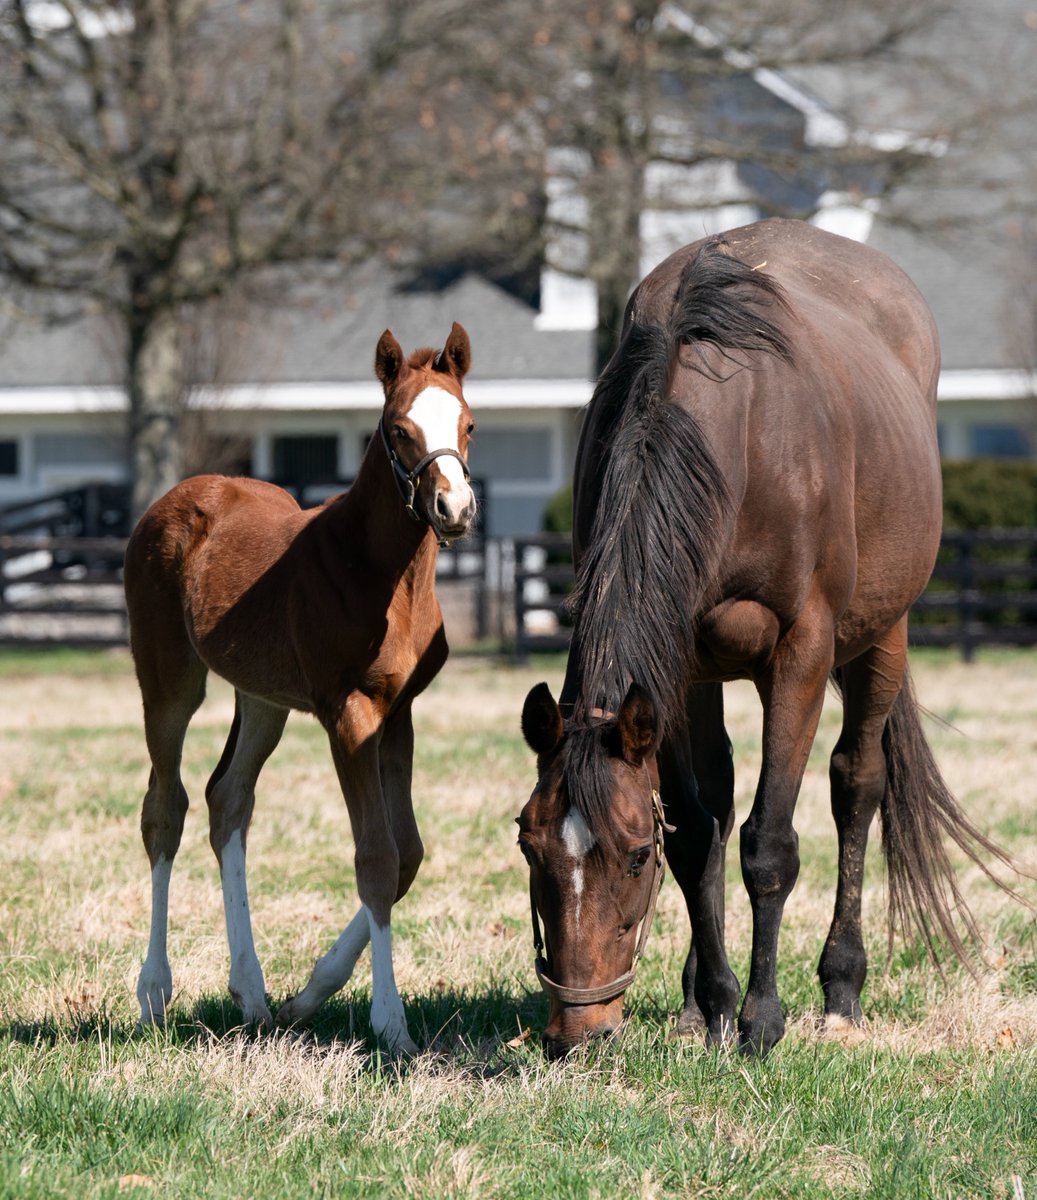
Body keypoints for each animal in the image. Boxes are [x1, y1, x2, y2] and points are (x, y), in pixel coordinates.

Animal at [126, 319, 477, 1051]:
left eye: (468, 425)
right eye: (398, 429)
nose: (454, 508)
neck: (381, 573)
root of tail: (174, 499)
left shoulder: (398, 712)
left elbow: (406, 855)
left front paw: (308, 995)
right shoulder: (349, 713)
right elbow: (375, 857)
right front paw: (390, 1023)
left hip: (262, 700)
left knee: (227, 799)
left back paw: (253, 994)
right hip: (169, 682)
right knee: (165, 808)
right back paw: (154, 992)